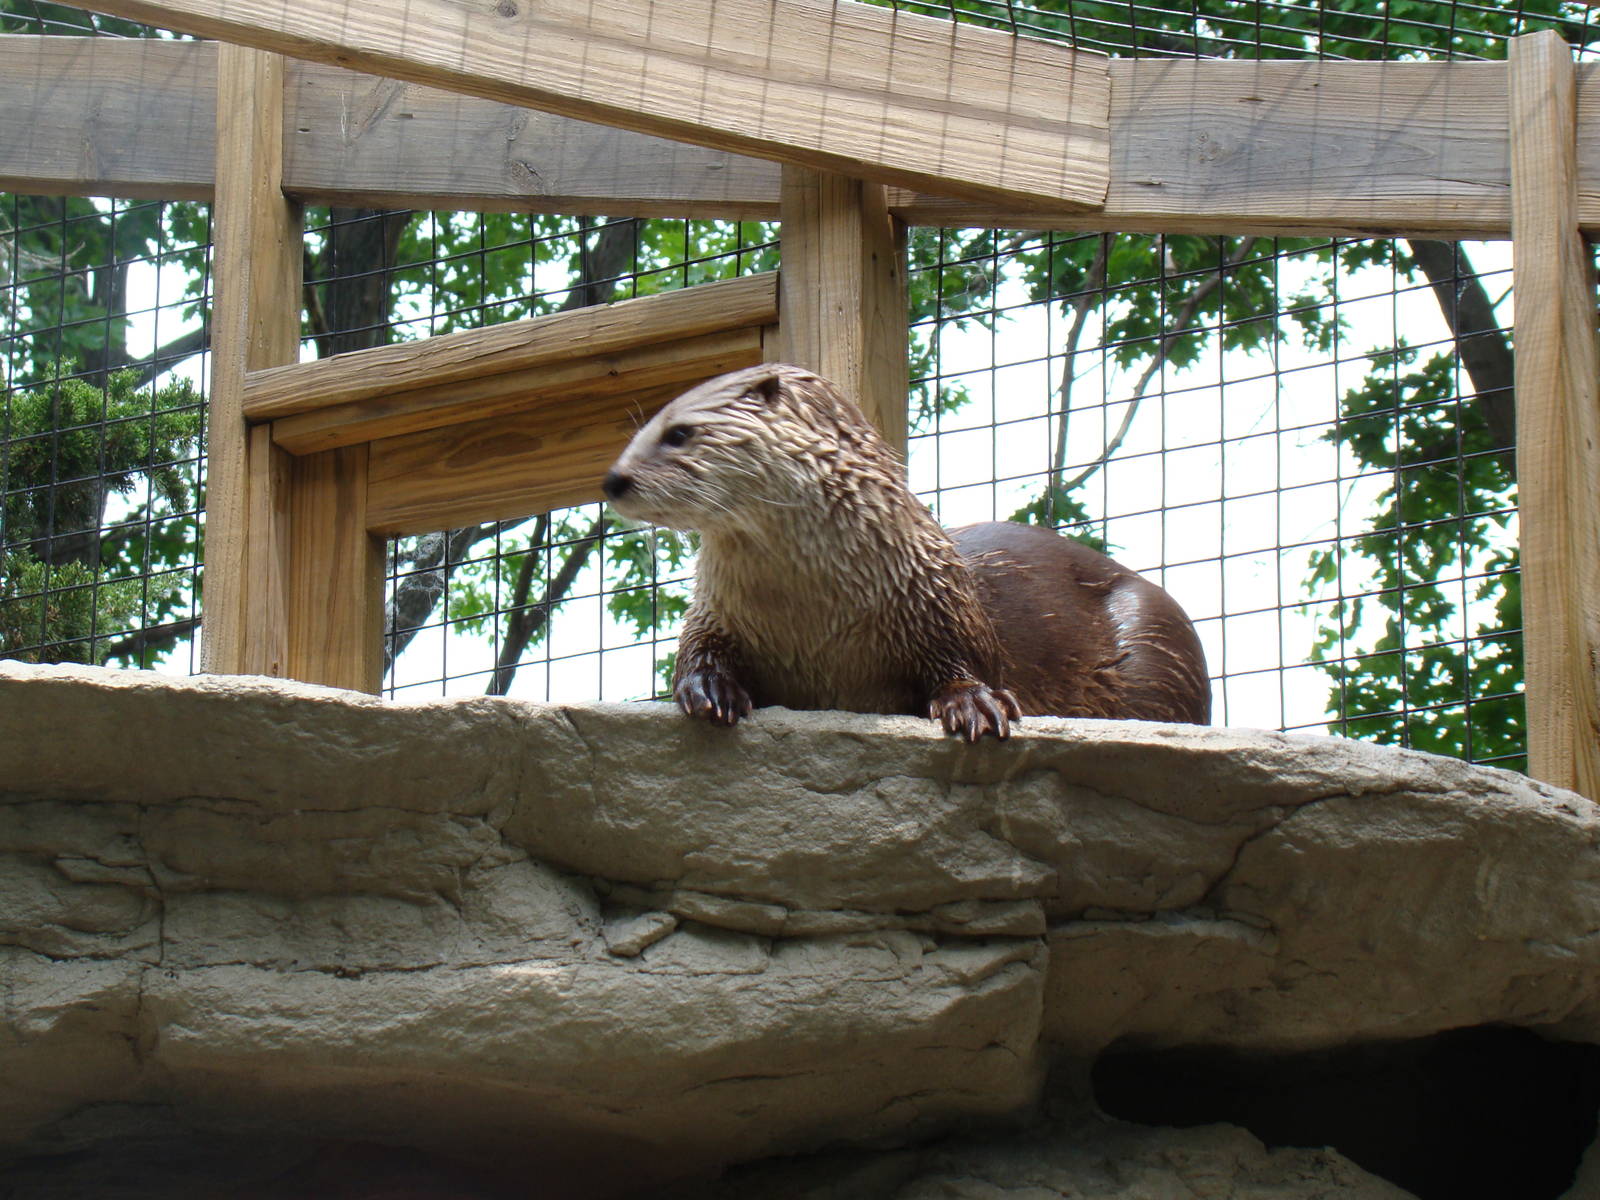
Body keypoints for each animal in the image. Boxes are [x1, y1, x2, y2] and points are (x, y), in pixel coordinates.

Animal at [602, 363, 1210, 741]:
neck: (812, 618)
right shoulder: (714, 612)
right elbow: (698, 650)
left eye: (678, 433)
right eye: (639, 429)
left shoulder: (939, 599)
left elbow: (966, 662)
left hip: (1158, 642)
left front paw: (973, 703)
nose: (612, 479)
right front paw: (709, 690)